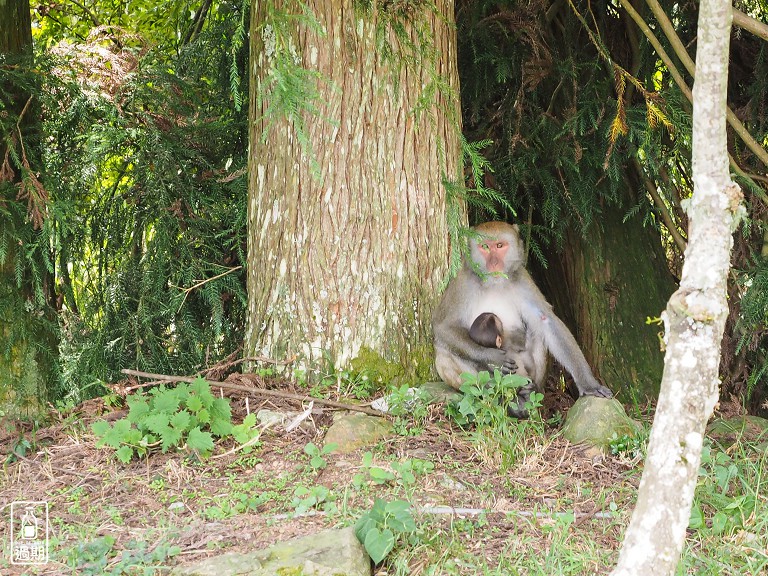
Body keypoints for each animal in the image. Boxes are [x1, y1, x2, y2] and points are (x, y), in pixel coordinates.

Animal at [436, 220, 616, 414]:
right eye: (485, 247)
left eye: (500, 246)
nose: (494, 263)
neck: (494, 283)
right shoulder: (461, 281)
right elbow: (443, 328)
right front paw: (493, 357)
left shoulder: (522, 278)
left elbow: (546, 320)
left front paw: (588, 384)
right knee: (443, 354)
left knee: (537, 332)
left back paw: (533, 390)